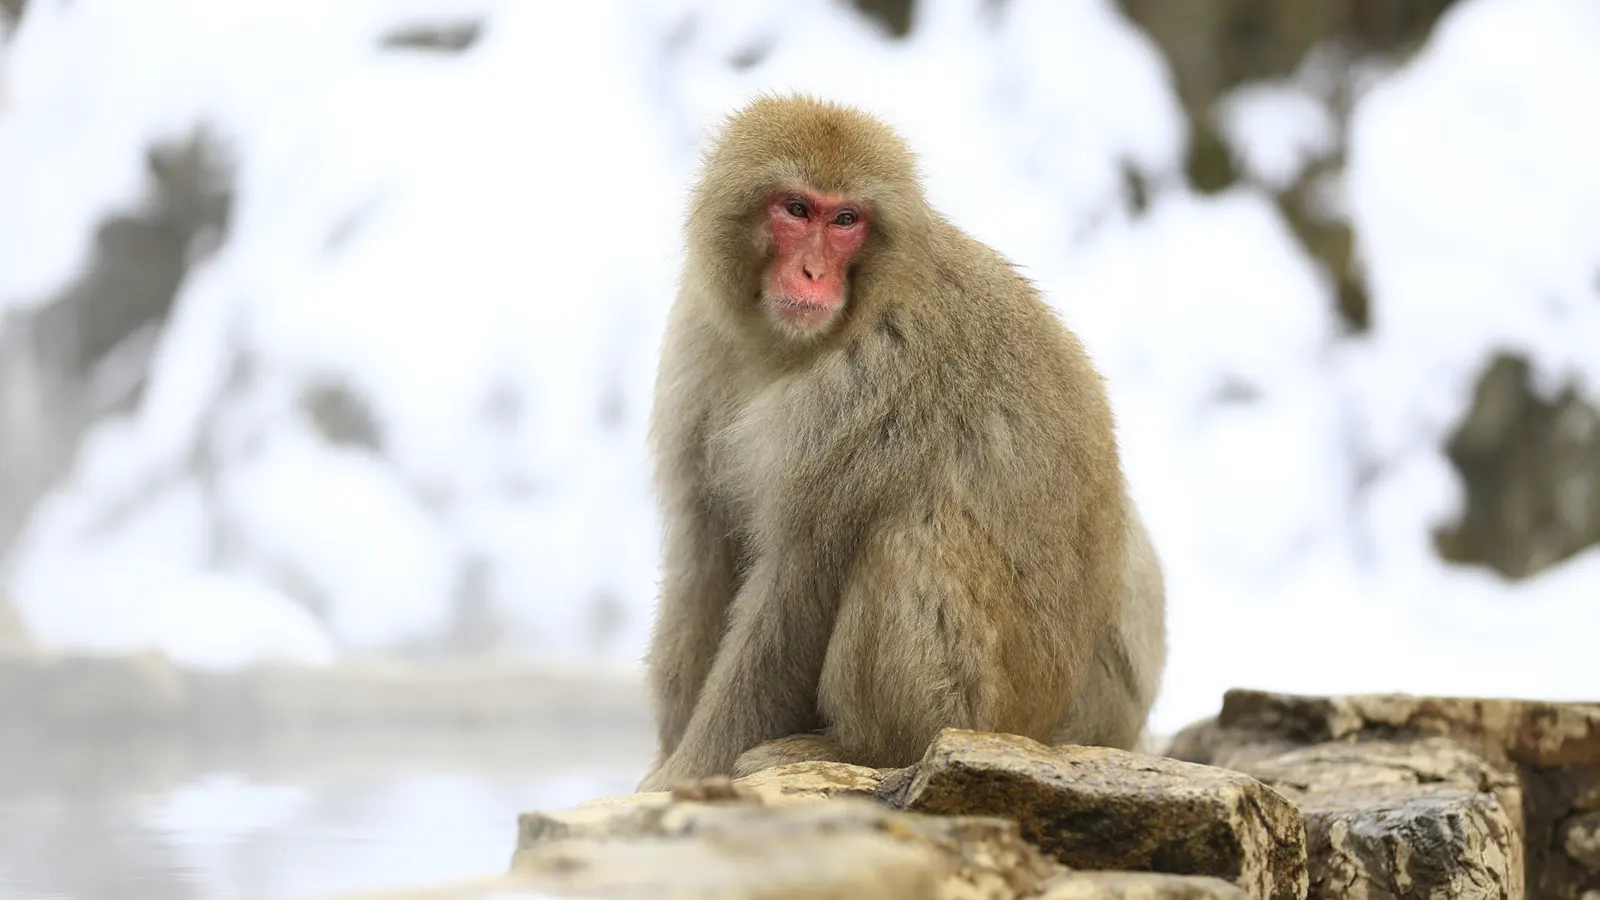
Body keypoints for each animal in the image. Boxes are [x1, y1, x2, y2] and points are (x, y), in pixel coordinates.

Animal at [636, 94, 1166, 792]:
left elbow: (799, 584)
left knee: (904, 538)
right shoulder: (701, 339)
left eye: (846, 219)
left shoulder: (874, 381)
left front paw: (691, 771)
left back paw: (862, 750)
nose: (812, 272)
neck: (782, 347)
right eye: (796, 208)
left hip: (986, 709)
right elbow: (704, 546)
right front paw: (669, 759)